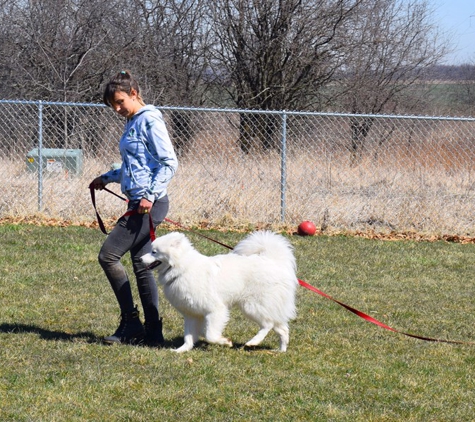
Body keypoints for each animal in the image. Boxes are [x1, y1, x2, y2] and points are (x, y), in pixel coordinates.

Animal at [140, 231, 298, 352]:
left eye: (154, 252)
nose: (140, 258)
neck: (183, 269)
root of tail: (273, 261)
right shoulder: (191, 314)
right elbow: (188, 337)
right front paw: (181, 350)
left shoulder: (215, 310)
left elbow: (210, 335)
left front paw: (225, 342)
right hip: (267, 307)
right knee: (282, 329)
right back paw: (280, 350)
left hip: (252, 306)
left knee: (268, 324)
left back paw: (253, 342)